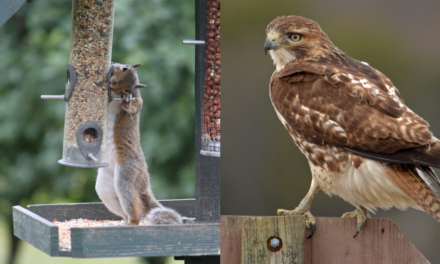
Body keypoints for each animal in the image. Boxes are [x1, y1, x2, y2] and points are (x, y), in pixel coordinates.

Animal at [96, 63, 184, 225]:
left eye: (127, 90)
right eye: (124, 68)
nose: (112, 83)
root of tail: (144, 182)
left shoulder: (137, 101)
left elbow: (135, 105)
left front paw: (127, 102)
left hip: (127, 174)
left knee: (134, 207)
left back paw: (132, 221)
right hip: (105, 188)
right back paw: (121, 223)